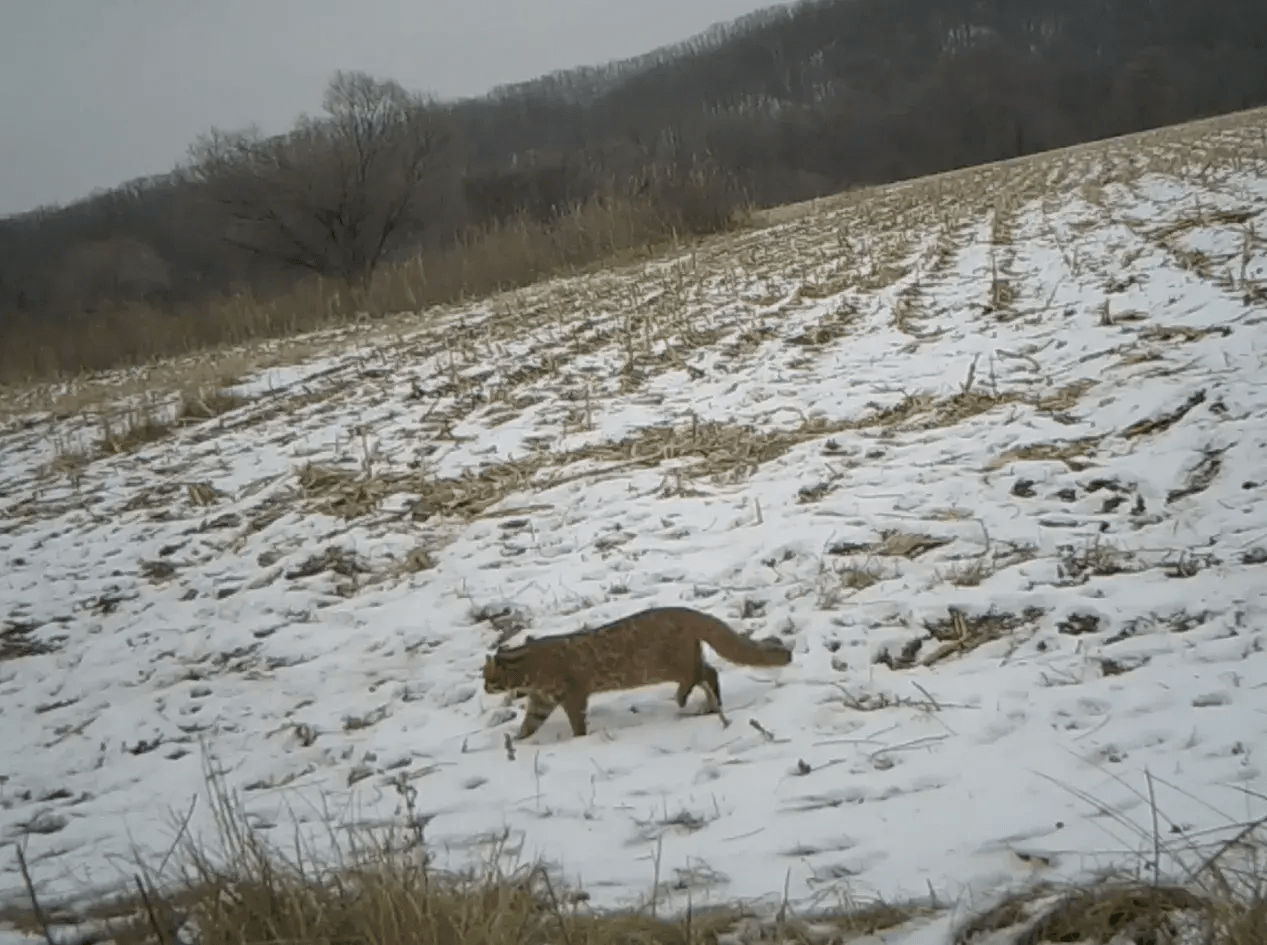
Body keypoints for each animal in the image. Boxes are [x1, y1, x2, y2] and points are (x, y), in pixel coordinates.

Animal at [476, 608, 790, 739]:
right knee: (709, 674)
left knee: (697, 674)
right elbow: (529, 724)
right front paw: (518, 741)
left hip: (665, 664)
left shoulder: (572, 694)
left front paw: (578, 739)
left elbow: (577, 722)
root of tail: (689, 612)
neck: (530, 666)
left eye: (488, 677)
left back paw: (683, 698)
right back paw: (709, 706)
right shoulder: (542, 701)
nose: (484, 688)